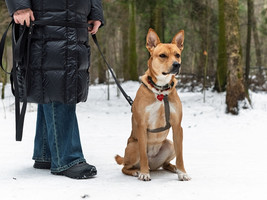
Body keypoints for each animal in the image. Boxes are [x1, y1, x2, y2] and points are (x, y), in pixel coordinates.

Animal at [115, 28, 191, 181]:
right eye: (162, 55)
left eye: (177, 55)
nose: (177, 64)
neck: (161, 90)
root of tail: (154, 165)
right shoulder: (142, 126)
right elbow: (143, 155)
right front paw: (144, 173)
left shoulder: (177, 127)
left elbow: (180, 155)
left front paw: (182, 172)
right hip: (134, 146)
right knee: (125, 167)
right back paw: (136, 171)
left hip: (170, 144)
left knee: (165, 163)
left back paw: (172, 167)